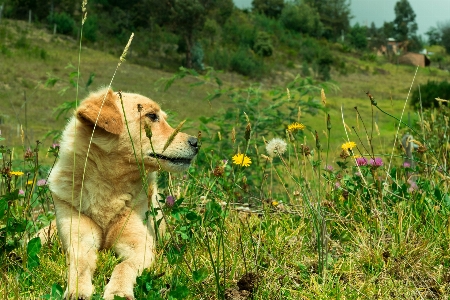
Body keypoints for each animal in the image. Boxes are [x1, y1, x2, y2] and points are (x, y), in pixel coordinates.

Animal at [43, 88, 198, 298]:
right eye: (152, 116)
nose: (196, 142)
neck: (107, 187)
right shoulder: (79, 241)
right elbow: (79, 264)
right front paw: (77, 290)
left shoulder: (140, 245)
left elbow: (124, 267)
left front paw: (118, 291)